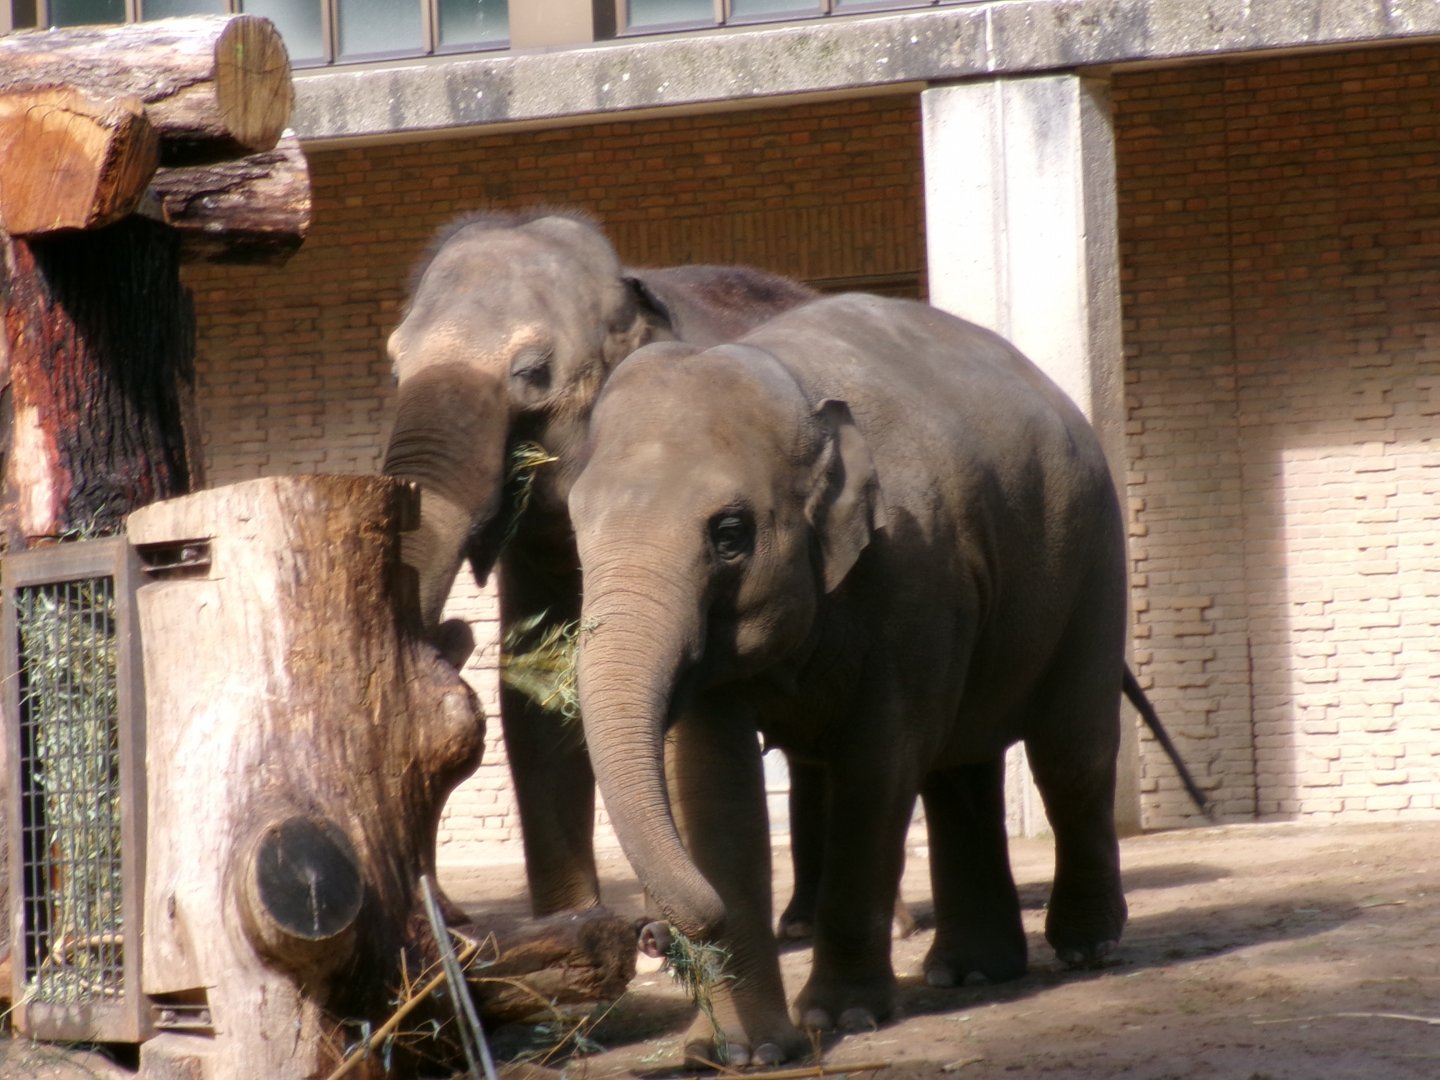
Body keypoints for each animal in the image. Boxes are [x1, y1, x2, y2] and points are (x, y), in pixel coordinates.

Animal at [568, 293, 1133, 1066]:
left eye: (730, 533)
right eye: (575, 528)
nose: (650, 934)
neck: (789, 382)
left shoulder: (914, 571)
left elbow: (877, 766)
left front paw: (840, 1018)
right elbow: (711, 786)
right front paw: (742, 1054)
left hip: (1092, 554)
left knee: (1069, 753)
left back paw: (1088, 949)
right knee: (960, 772)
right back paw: (970, 972)